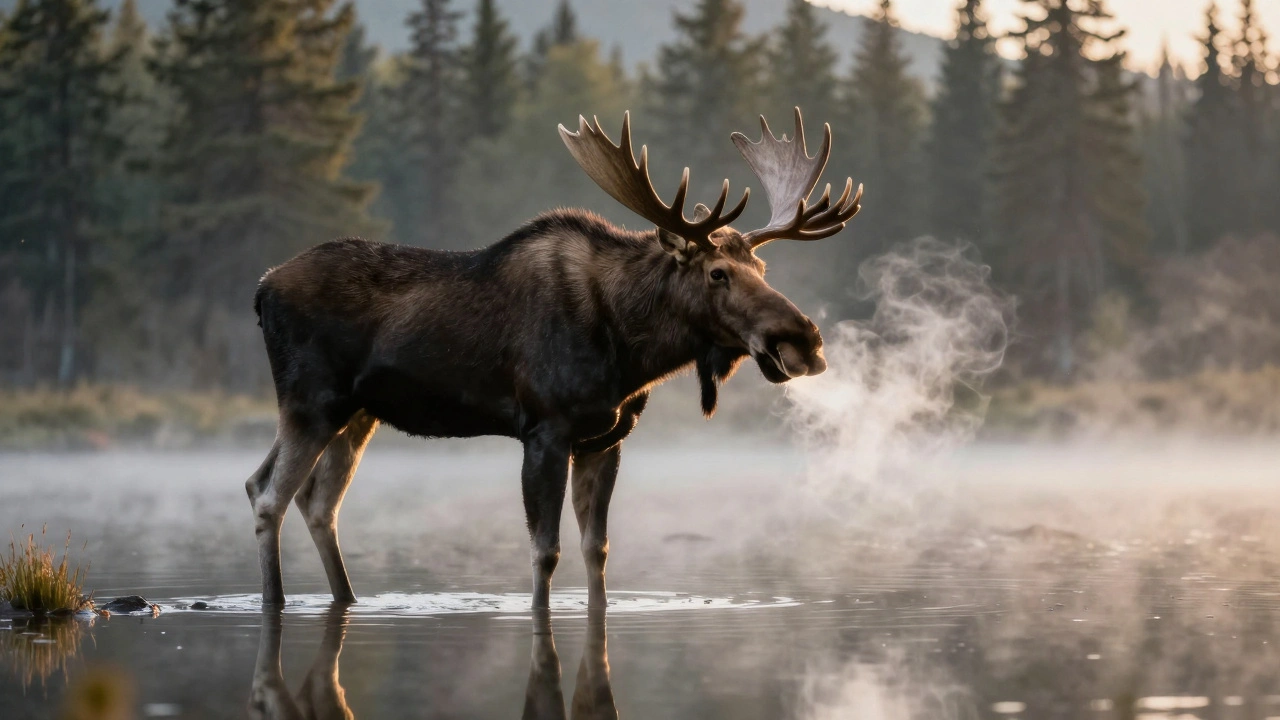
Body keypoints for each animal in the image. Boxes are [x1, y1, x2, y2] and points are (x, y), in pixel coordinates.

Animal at [246, 108, 862, 610]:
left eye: (762, 269)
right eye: (717, 273)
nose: (805, 339)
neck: (629, 347)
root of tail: (261, 288)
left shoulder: (605, 437)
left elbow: (597, 550)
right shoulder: (545, 428)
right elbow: (545, 552)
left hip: (356, 412)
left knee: (306, 498)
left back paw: (345, 598)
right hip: (311, 401)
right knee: (271, 496)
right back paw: (275, 601)